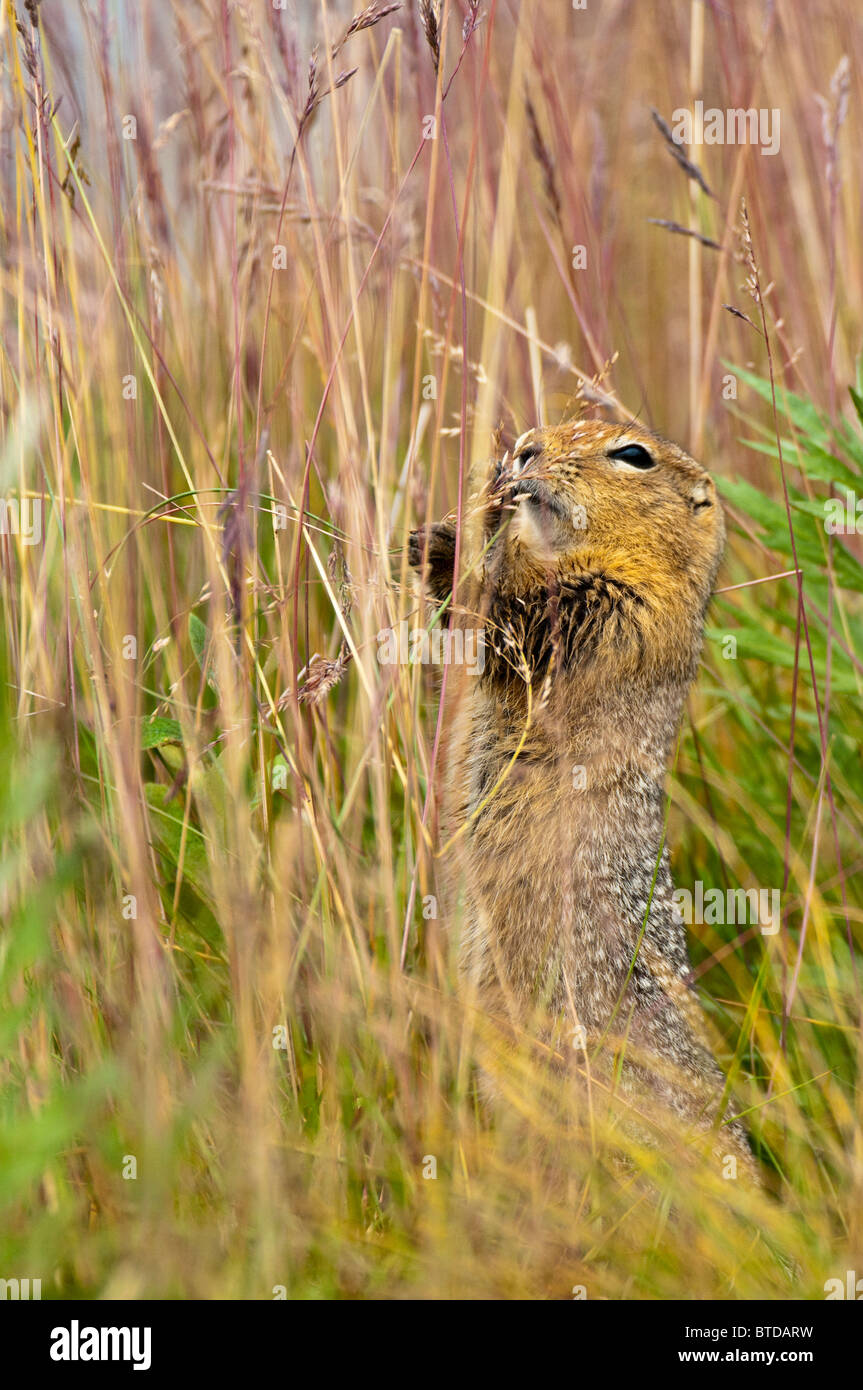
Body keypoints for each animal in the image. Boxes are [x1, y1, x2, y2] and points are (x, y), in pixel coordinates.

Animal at [411, 414, 755, 1173]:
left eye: (632, 454)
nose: (524, 452)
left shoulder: (622, 613)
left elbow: (519, 633)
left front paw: (455, 551)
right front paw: (456, 527)